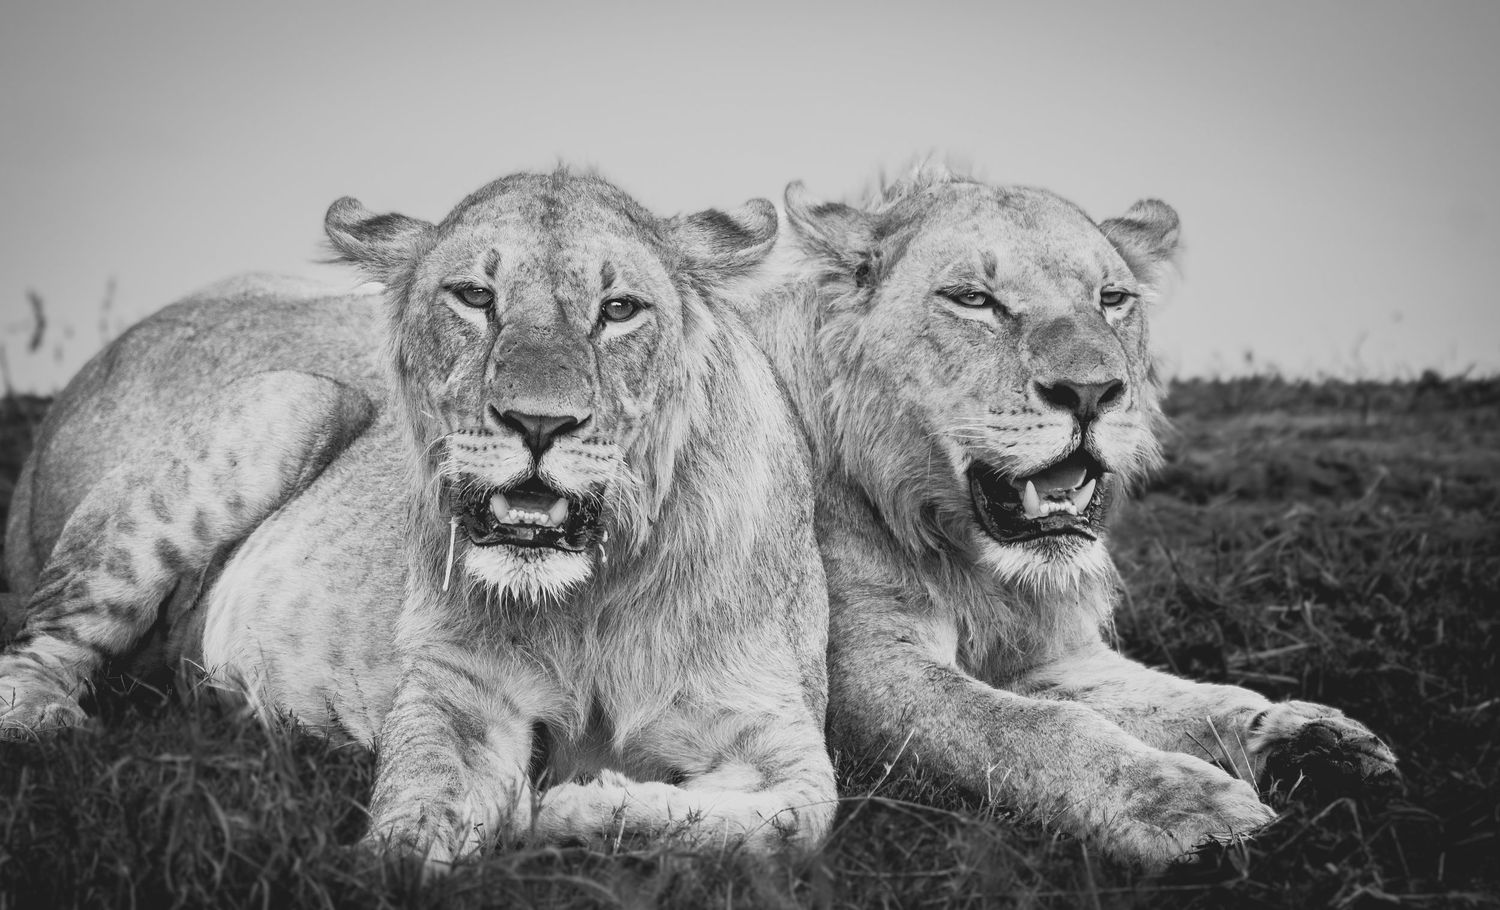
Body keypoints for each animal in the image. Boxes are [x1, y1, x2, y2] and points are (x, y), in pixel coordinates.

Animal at [0, 170, 837, 863]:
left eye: (619, 311)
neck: (593, 599)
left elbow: (795, 819)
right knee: (39, 648)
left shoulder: (778, 727)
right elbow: (422, 800)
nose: (537, 424)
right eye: (475, 297)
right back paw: (50, 723)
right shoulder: (458, 686)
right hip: (292, 395)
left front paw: (573, 807)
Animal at [750, 166, 1400, 868]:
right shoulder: (861, 674)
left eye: (1111, 298)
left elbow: (1189, 697)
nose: (1091, 392)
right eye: (973, 299)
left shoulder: (1054, 658)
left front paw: (1311, 740)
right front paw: (1188, 809)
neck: (968, 558)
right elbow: (1032, 728)